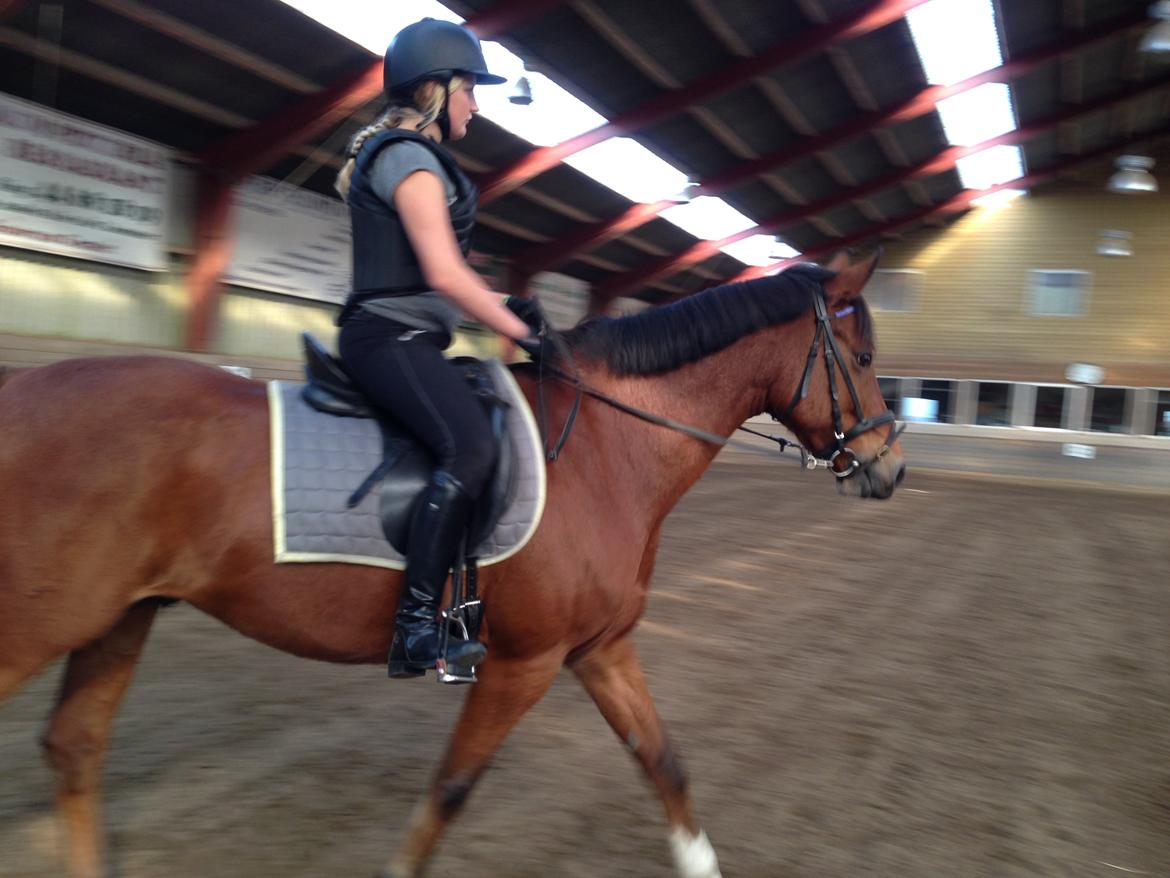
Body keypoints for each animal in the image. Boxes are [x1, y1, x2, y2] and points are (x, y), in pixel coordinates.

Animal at [0, 249, 903, 878]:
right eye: (862, 361)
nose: (889, 468)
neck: (606, 448)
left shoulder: (599, 649)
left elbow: (664, 762)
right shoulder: (522, 662)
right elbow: (450, 790)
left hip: (119, 617)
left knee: (75, 749)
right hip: (40, 625)